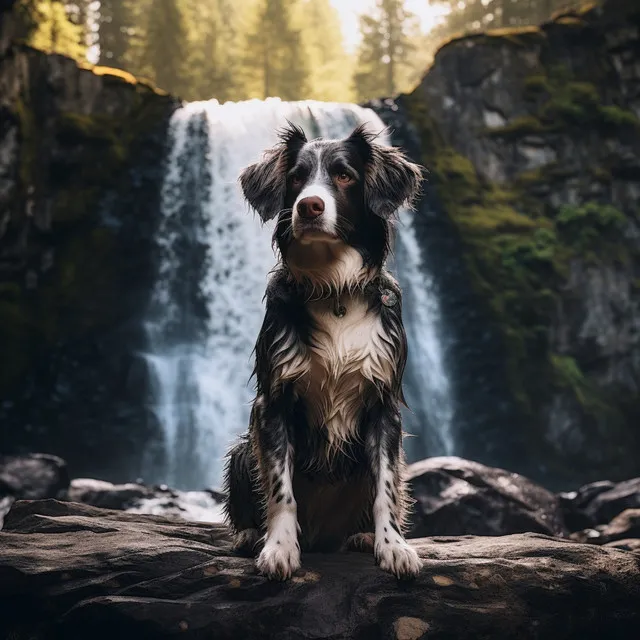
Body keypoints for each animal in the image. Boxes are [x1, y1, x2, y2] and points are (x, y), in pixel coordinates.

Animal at [221, 120, 424, 580]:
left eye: (345, 175)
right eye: (295, 178)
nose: (309, 206)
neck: (335, 290)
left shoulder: (384, 405)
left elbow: (387, 487)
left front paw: (392, 546)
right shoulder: (273, 402)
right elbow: (280, 489)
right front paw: (279, 549)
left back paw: (362, 536)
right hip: (242, 449)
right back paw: (248, 535)